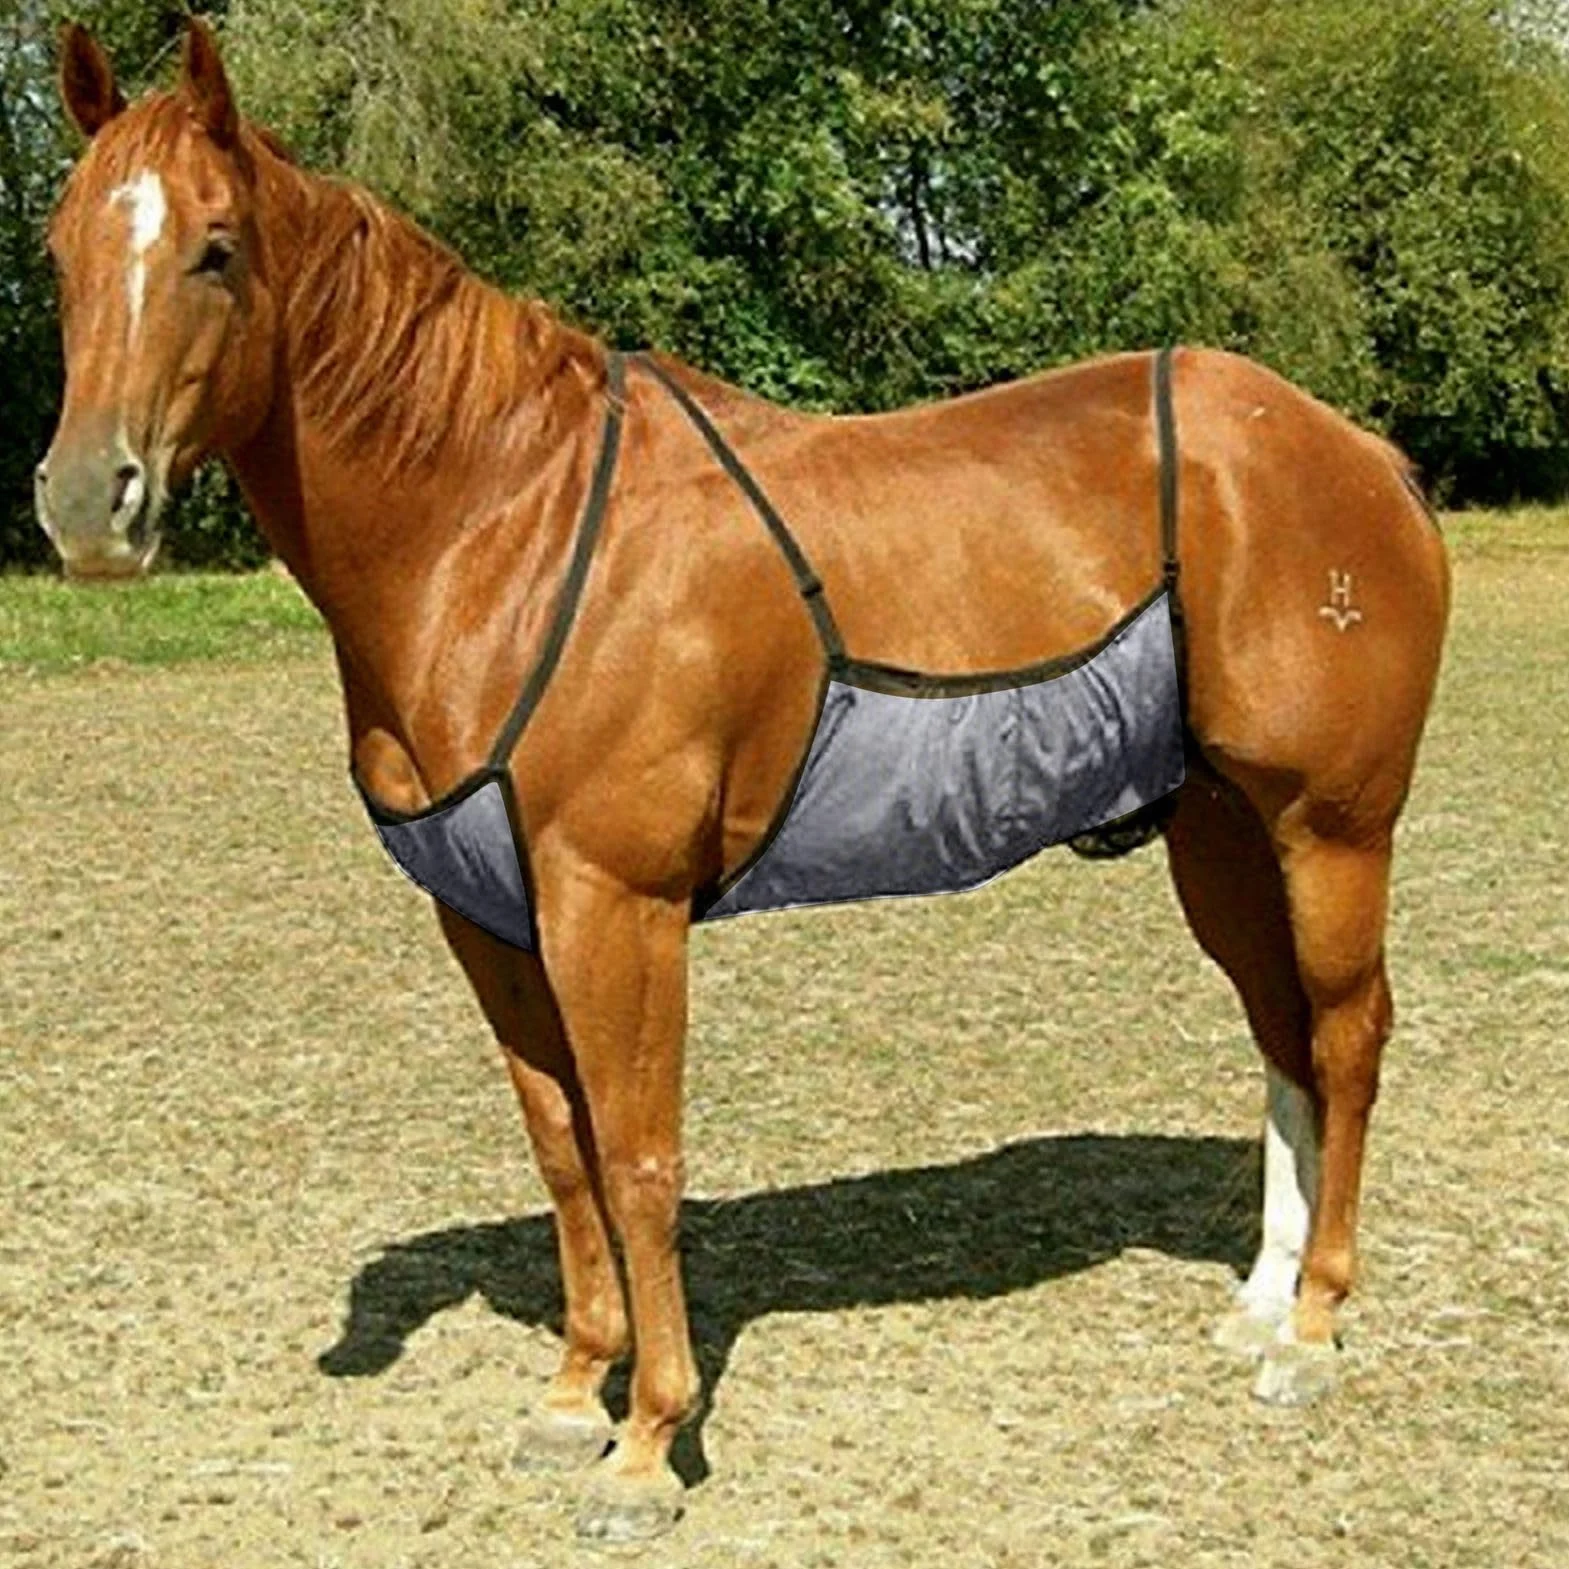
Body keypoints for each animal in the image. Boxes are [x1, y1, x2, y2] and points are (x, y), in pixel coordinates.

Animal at [37, 21, 1449, 1543]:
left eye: (216, 248)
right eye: (59, 250)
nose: (87, 503)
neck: (507, 527)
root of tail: (1359, 453)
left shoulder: (617, 905)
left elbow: (640, 1156)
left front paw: (649, 1442)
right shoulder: (490, 921)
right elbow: (561, 1147)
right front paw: (569, 1397)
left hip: (1330, 829)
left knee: (1348, 1038)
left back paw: (1315, 1330)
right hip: (1224, 839)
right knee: (1283, 1039)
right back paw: (1262, 1303)